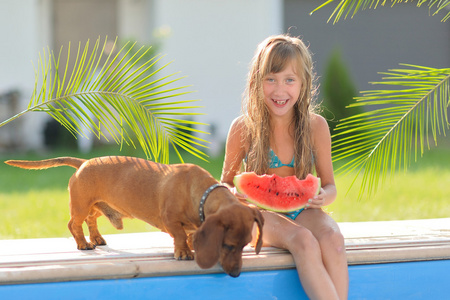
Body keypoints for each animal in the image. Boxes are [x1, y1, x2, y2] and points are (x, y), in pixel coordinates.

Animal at [6, 156, 264, 278]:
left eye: (244, 245)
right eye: (227, 245)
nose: (236, 274)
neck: (200, 193)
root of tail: (84, 162)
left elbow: (190, 235)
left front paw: (191, 246)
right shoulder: (171, 221)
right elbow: (180, 236)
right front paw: (183, 252)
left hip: (97, 205)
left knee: (91, 220)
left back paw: (96, 238)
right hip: (80, 206)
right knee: (74, 224)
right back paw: (83, 243)